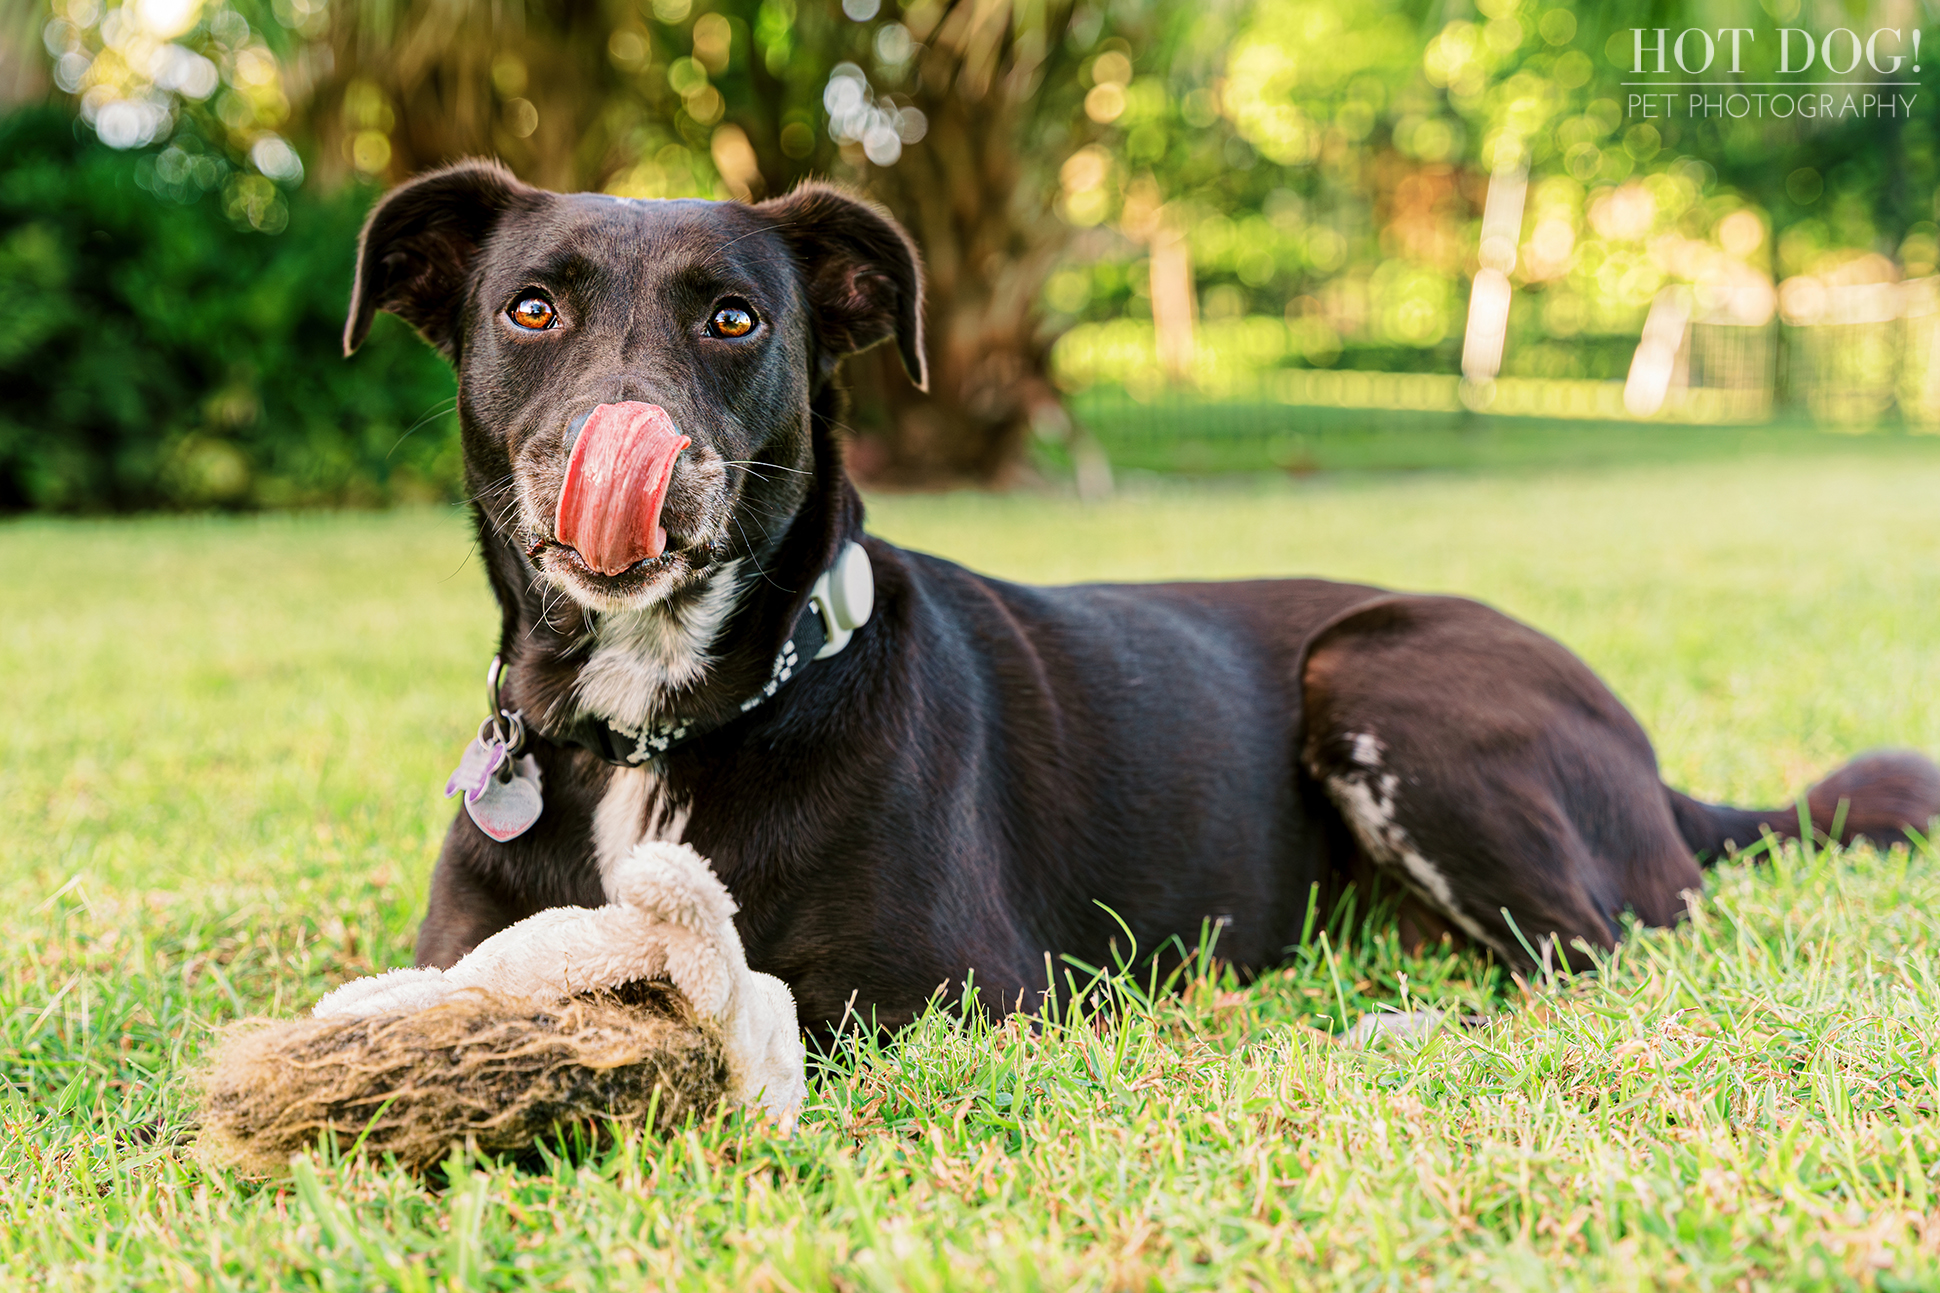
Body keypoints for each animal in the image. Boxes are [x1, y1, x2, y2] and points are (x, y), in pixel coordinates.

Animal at [349, 161, 1940, 1025]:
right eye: (529, 309)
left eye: (734, 319)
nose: (630, 457)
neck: (655, 719)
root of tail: (1659, 770)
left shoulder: (947, 992)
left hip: (1383, 677)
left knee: (1593, 955)